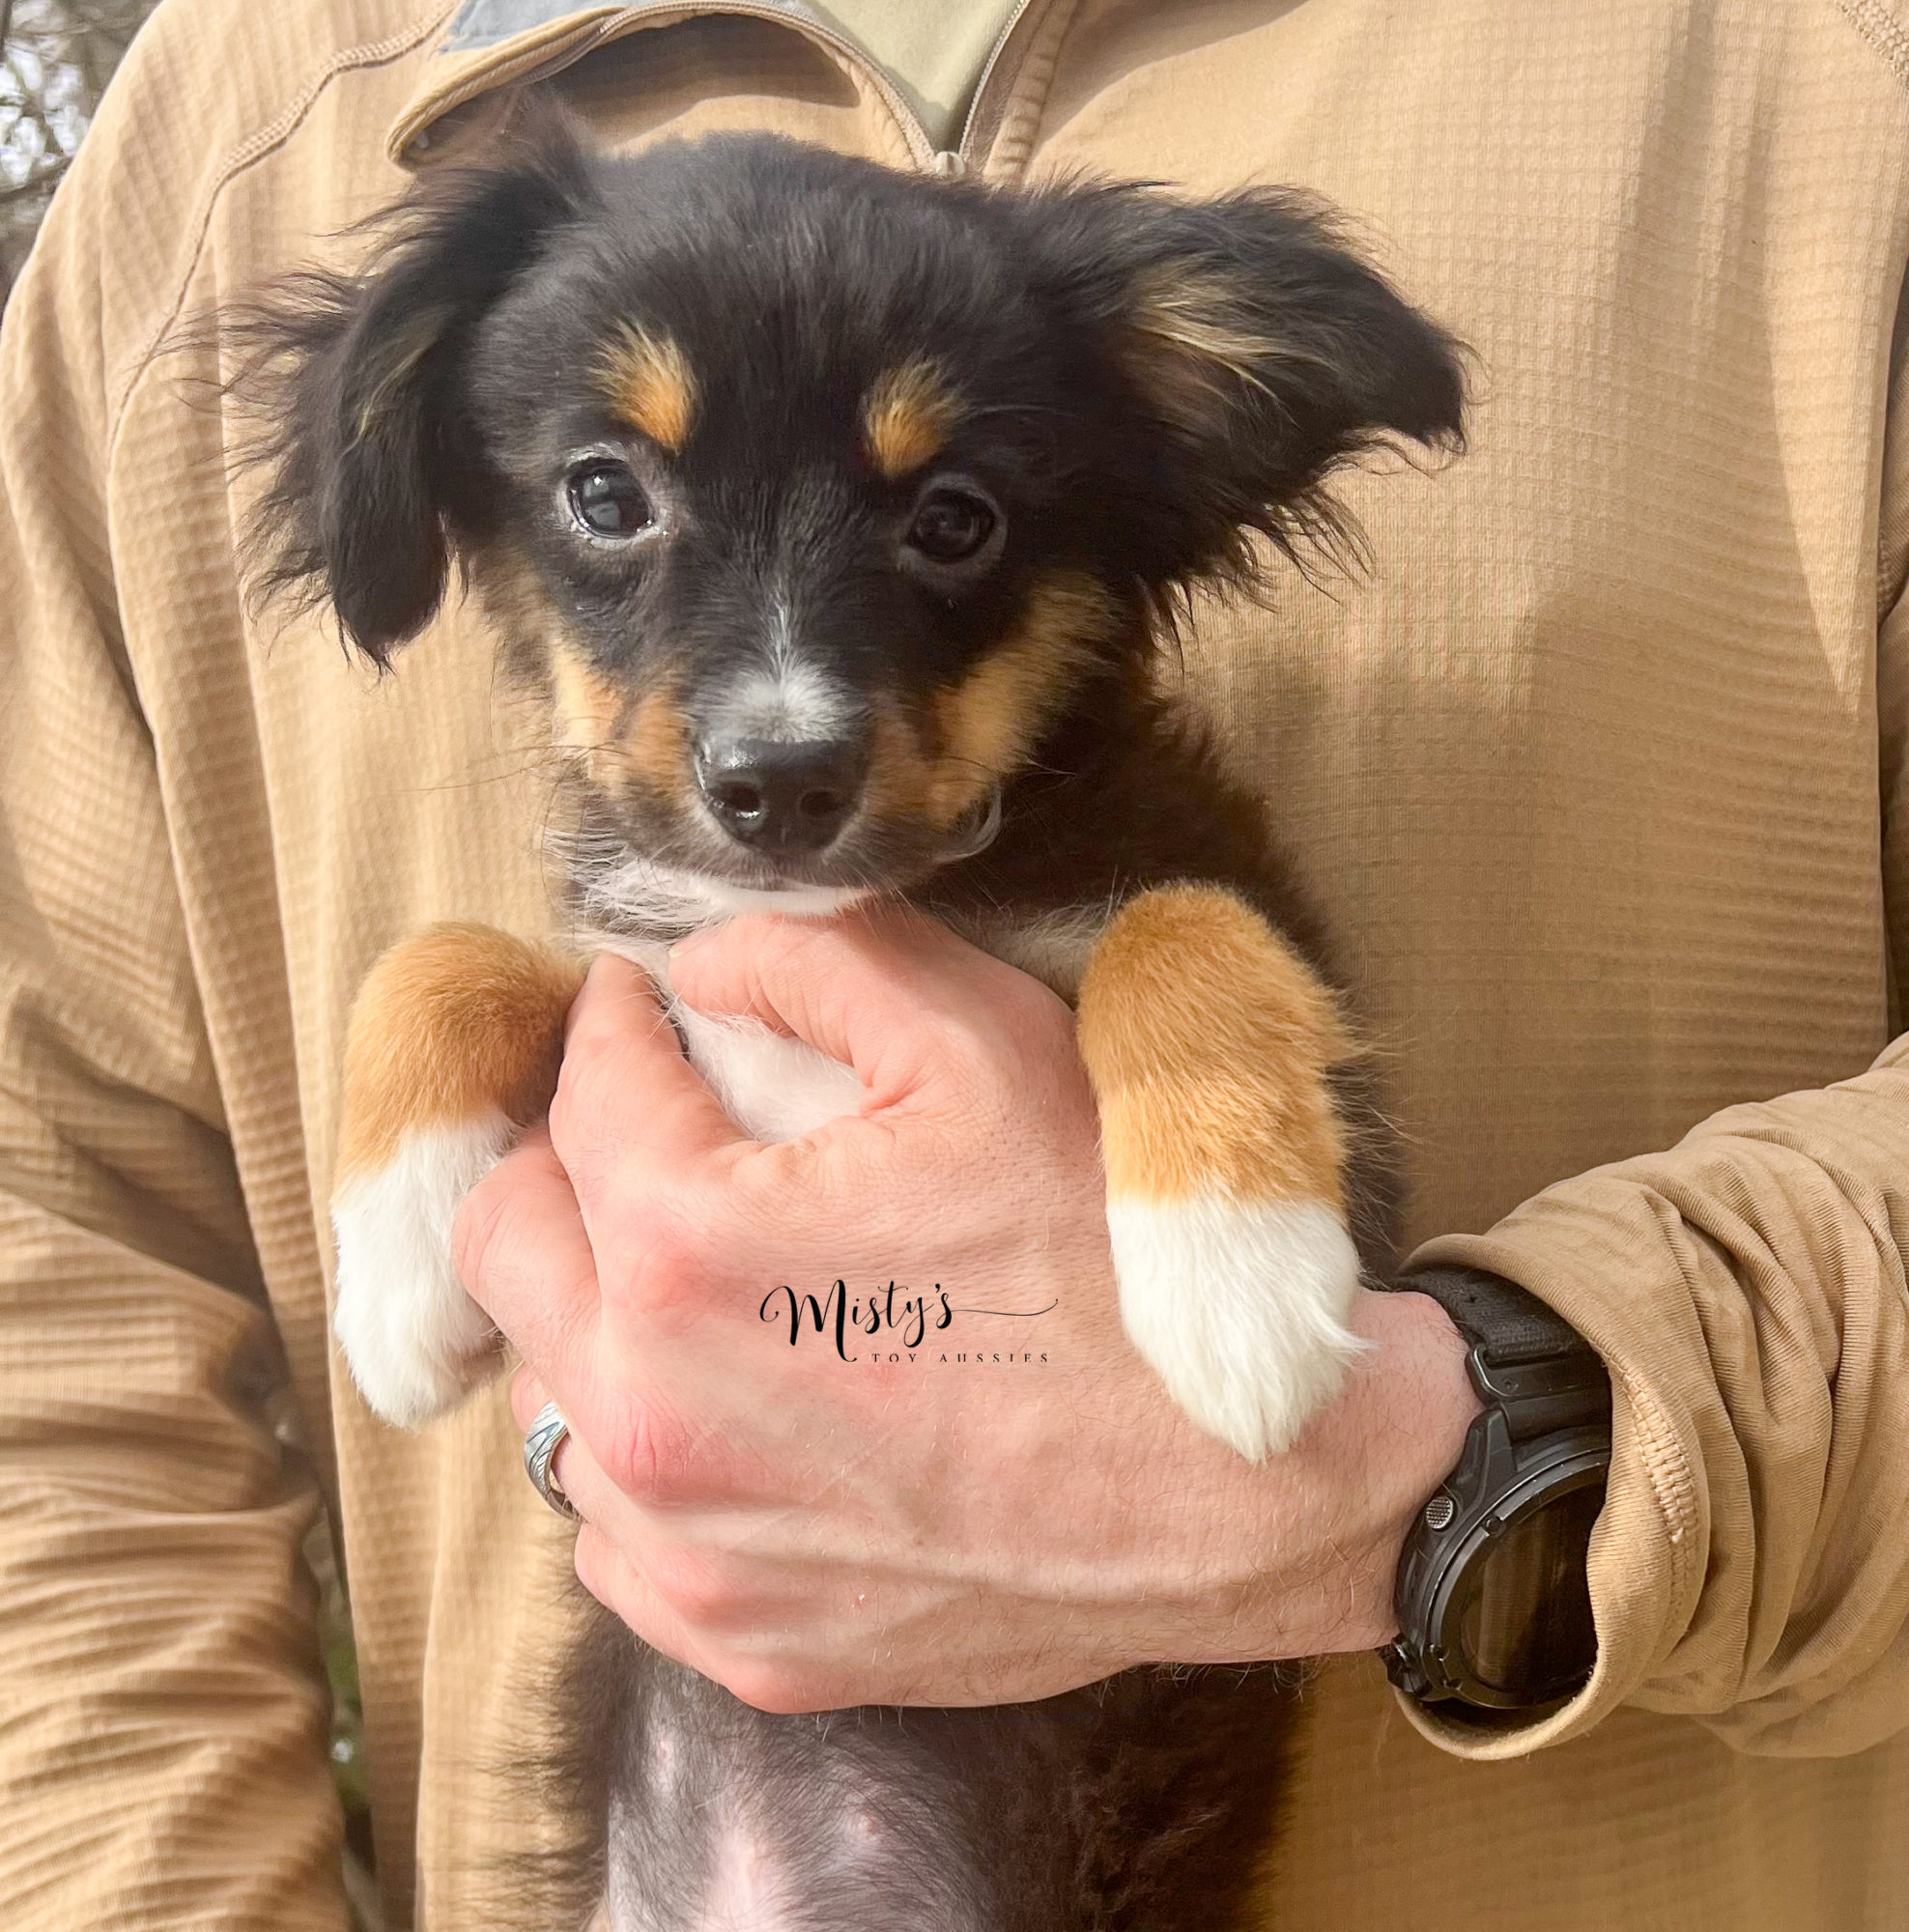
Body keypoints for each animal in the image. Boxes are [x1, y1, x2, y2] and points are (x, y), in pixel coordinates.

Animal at [231, 105, 1468, 1932]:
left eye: (955, 519)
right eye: (604, 493)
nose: (778, 783)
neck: (841, 907)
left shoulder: (1283, 1005)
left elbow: (1182, 923)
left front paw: (1238, 1292)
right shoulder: (653, 962)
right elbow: (450, 951)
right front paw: (393, 1274)